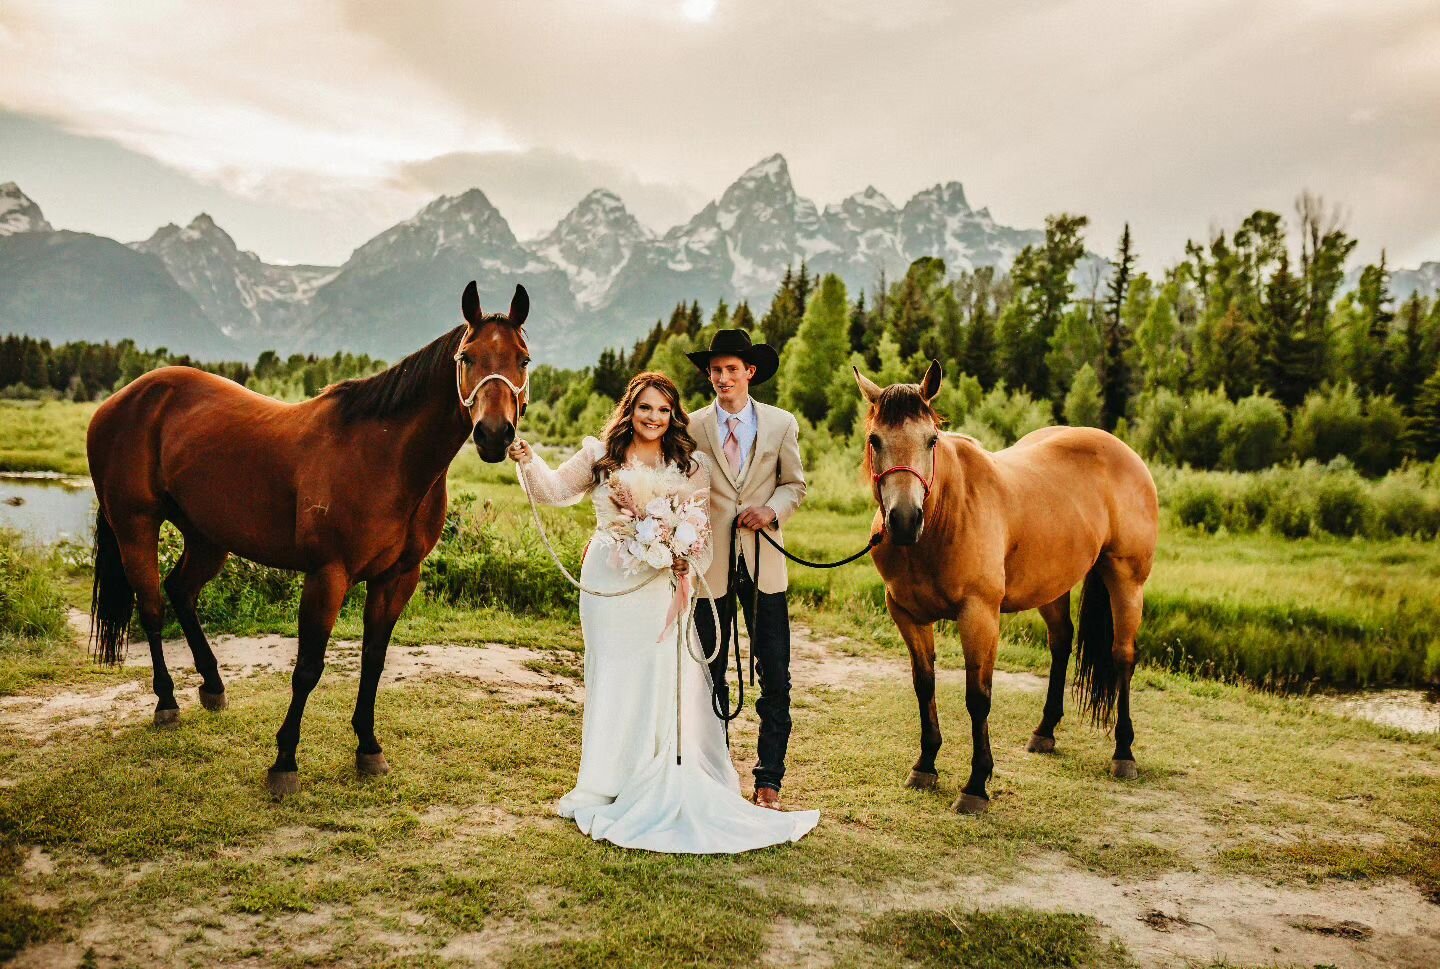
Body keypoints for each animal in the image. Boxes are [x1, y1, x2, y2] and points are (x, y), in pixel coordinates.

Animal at [82, 279, 529, 794]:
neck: (386, 457)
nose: (494, 434)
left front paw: (368, 748)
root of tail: (121, 400)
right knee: (153, 606)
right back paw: (167, 702)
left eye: (523, 359)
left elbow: (374, 661)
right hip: (135, 525)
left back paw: (213, 687)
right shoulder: (327, 576)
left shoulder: (397, 578)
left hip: (207, 538)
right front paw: (284, 762)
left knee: (181, 592)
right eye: (467, 357)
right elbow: (308, 669)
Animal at [852, 358, 1157, 812]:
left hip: (1126, 580)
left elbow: (978, 698)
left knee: (1122, 658)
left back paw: (1123, 752)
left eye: (931, 441)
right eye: (876, 440)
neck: (945, 516)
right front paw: (925, 764)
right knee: (1061, 643)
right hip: (1052, 586)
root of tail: (1125, 453)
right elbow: (924, 685)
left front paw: (976, 785)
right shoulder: (906, 614)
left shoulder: (979, 615)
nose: (904, 520)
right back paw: (1045, 732)